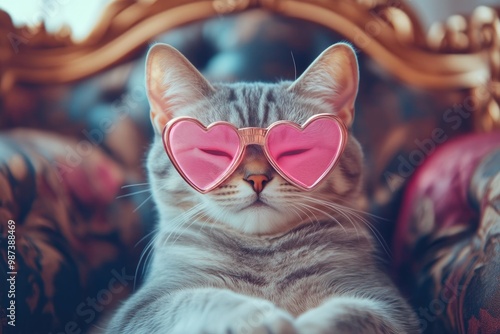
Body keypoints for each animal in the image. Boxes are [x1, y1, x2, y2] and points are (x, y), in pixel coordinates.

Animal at [103, 42, 420, 334]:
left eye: (295, 150)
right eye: (214, 150)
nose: (257, 178)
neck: (264, 255)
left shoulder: (387, 302)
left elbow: (354, 312)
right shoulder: (141, 310)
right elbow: (204, 299)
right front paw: (259, 317)